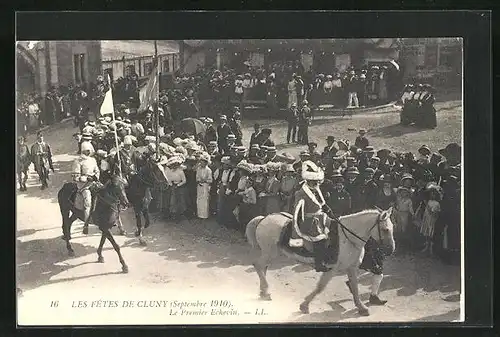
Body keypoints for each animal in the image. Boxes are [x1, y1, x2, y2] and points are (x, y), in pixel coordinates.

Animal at [245, 207, 394, 316]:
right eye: (386, 229)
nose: (391, 250)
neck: (347, 237)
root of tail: (264, 218)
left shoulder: (351, 268)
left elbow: (355, 287)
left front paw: (361, 307)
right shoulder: (331, 269)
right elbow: (320, 287)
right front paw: (304, 305)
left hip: (270, 253)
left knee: (262, 268)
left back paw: (263, 291)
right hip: (270, 252)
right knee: (258, 265)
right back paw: (266, 292)